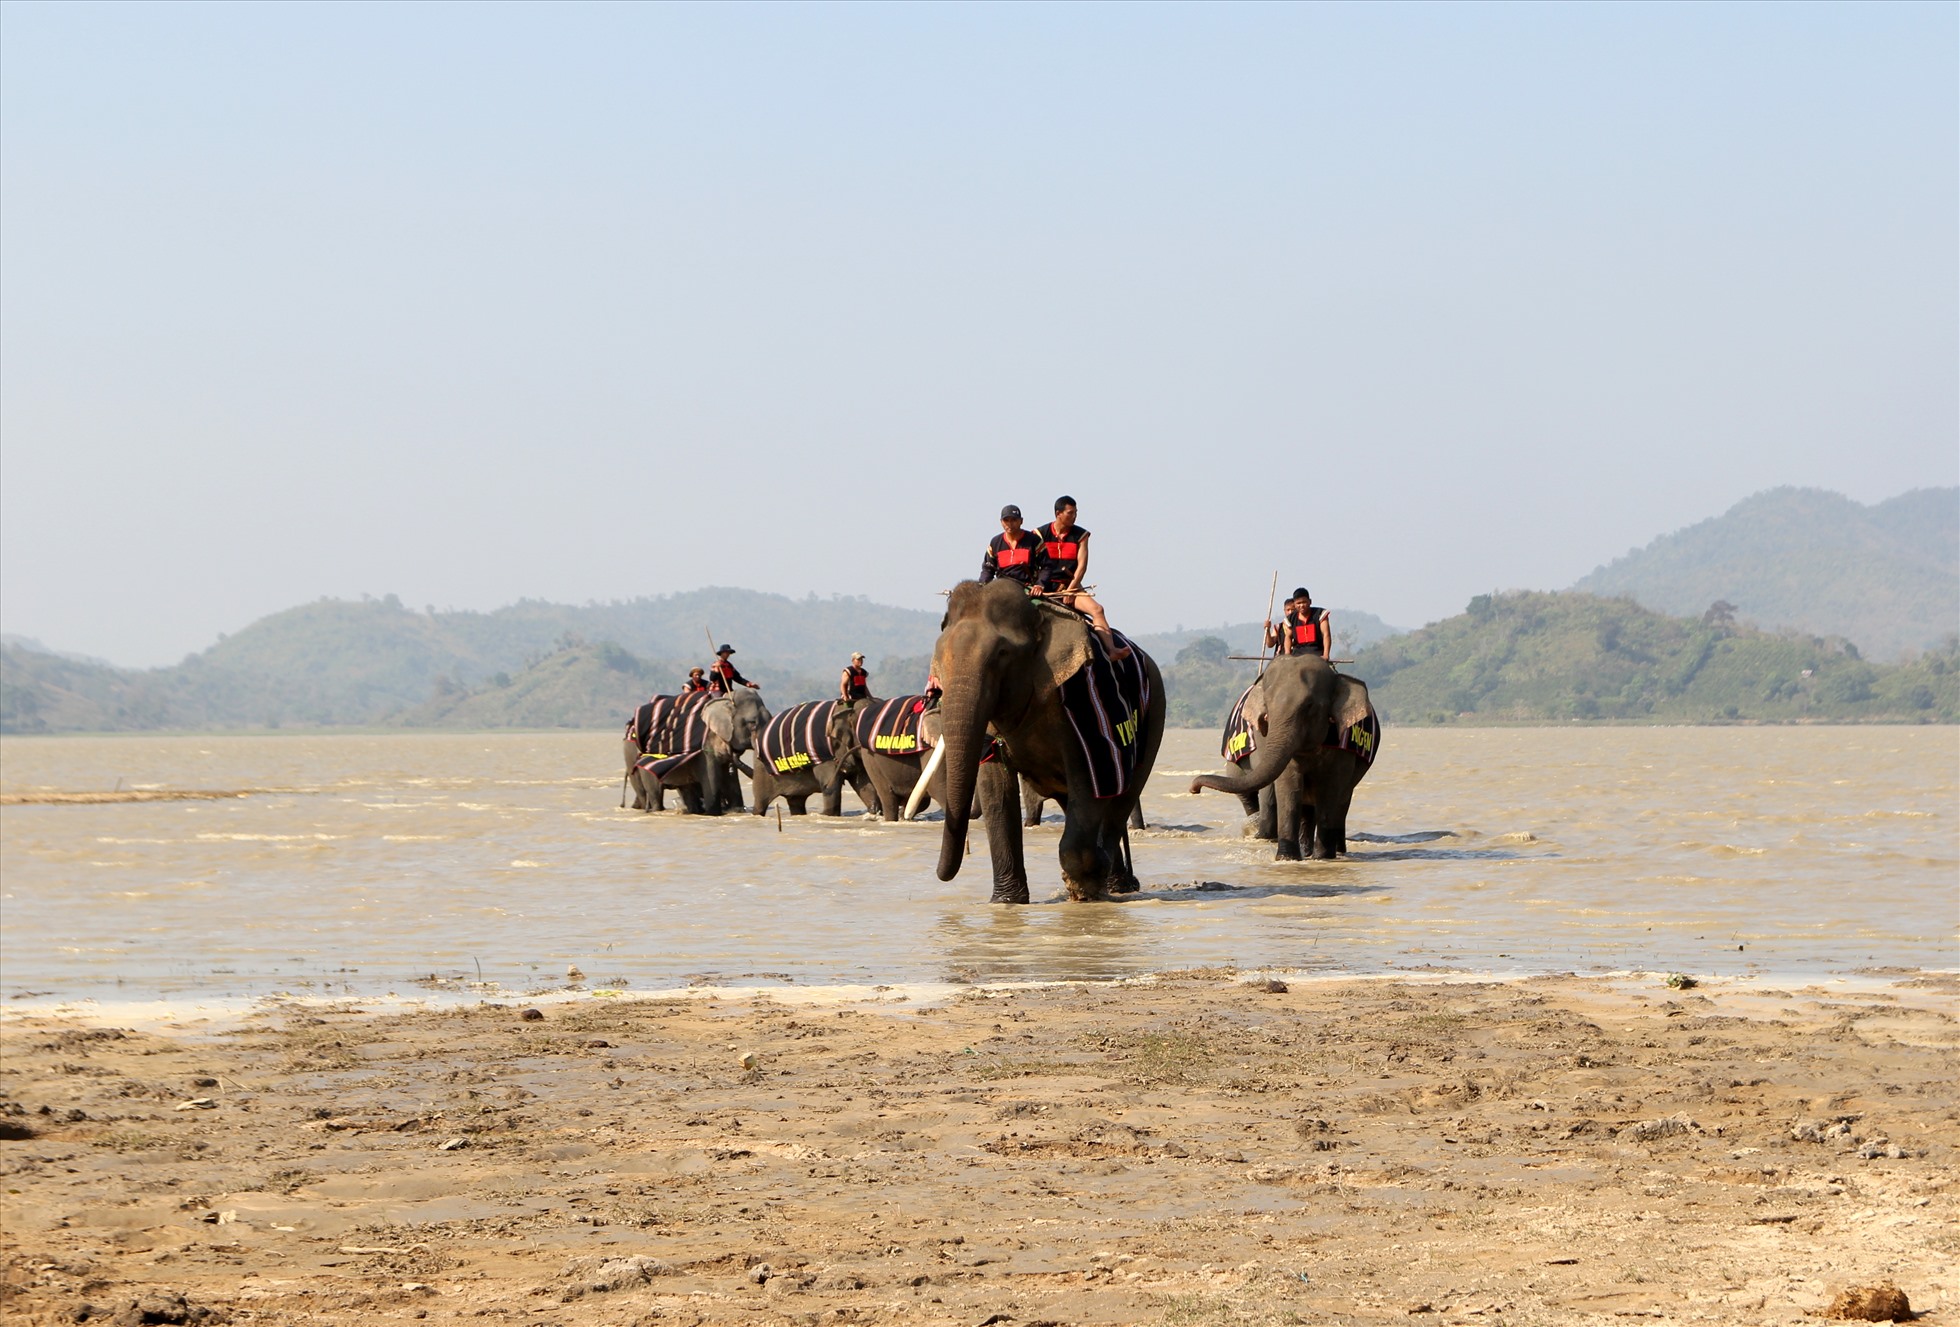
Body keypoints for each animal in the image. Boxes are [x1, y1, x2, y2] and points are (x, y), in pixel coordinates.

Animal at [623, 689, 768, 811]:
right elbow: (712, 784)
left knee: (686, 791)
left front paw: (736, 810)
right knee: (653, 794)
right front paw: (713, 812)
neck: (723, 700)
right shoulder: (705, 749)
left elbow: (731, 782)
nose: (736, 752)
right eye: (752, 724)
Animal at [744, 697, 878, 811]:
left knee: (796, 802)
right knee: (760, 804)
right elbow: (832, 787)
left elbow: (864, 783)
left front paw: (875, 811)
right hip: (761, 772)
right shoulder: (825, 755)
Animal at [925, 580, 1152, 901]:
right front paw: (1006, 901)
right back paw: (1117, 881)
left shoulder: (1080, 700)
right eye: (939, 657)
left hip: (1154, 714)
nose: (941, 873)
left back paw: (1110, 879)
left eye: (1003, 653)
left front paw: (1084, 887)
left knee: (1121, 797)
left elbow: (1088, 774)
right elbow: (995, 789)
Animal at [1176, 650, 1379, 858]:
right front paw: (1286, 857)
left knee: (1341, 801)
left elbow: (1332, 787)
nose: (1194, 789)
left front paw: (1322, 858)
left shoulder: (1343, 743)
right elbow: (1288, 786)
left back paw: (1334, 852)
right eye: (1266, 708)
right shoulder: (1263, 738)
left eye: (1309, 705)